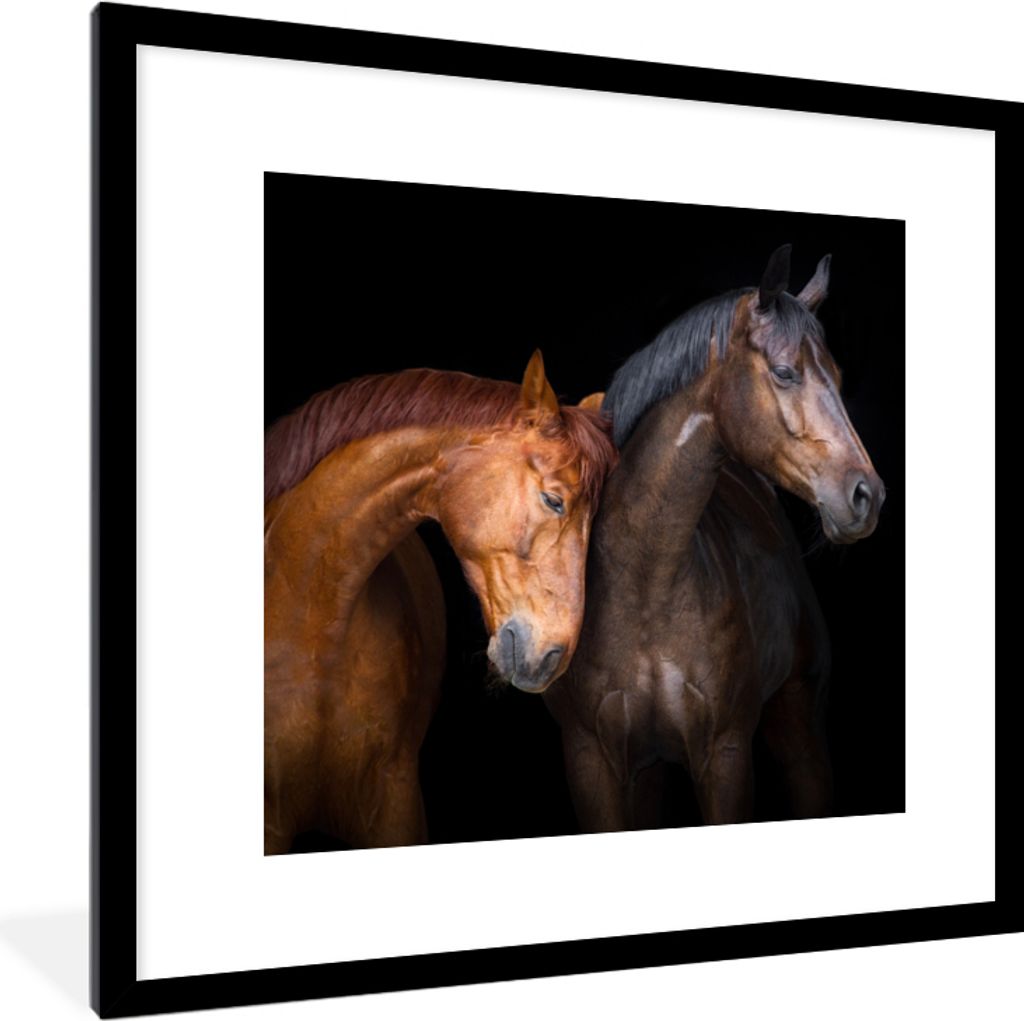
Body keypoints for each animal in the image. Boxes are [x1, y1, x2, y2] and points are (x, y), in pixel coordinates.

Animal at [543, 245, 885, 829]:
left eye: (839, 378)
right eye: (785, 372)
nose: (867, 495)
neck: (645, 583)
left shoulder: (724, 757)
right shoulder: (591, 760)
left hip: (800, 738)